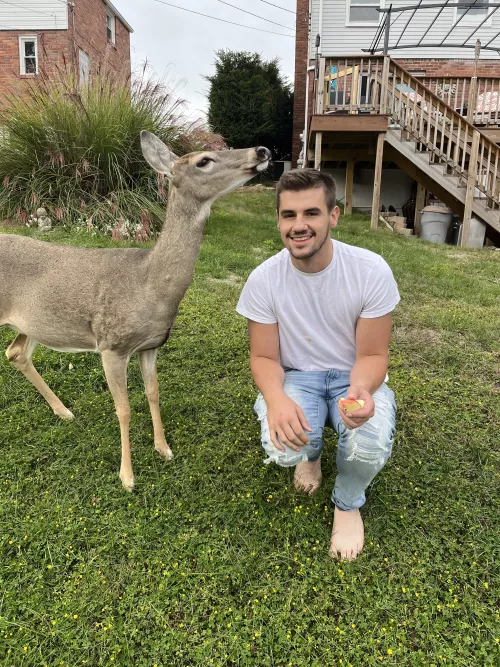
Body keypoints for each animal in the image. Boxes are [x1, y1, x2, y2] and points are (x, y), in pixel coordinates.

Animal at [0, 131, 271, 491]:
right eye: (203, 160)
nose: (262, 150)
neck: (150, 285)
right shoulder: (112, 344)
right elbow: (124, 408)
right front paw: (127, 476)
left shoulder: (151, 345)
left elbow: (153, 393)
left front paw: (163, 448)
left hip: (33, 323)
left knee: (15, 353)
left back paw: (64, 412)